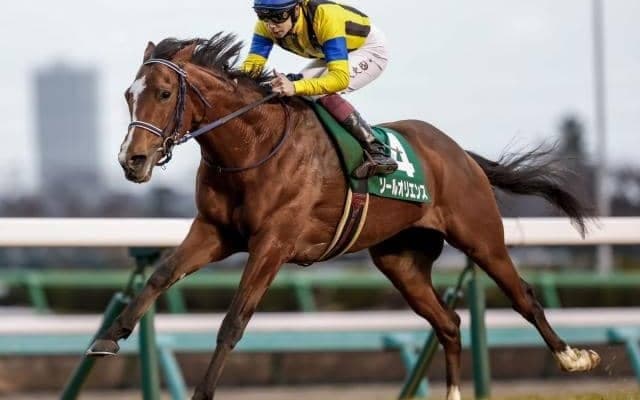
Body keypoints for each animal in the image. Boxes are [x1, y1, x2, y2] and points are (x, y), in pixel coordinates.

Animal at [88, 33, 600, 400]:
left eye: (163, 92)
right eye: (128, 94)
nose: (131, 160)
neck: (252, 144)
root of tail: (461, 154)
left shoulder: (273, 243)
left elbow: (234, 320)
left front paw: (203, 393)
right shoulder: (215, 232)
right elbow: (160, 276)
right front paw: (108, 338)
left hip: (481, 237)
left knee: (523, 297)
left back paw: (573, 358)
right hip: (400, 260)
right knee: (448, 323)